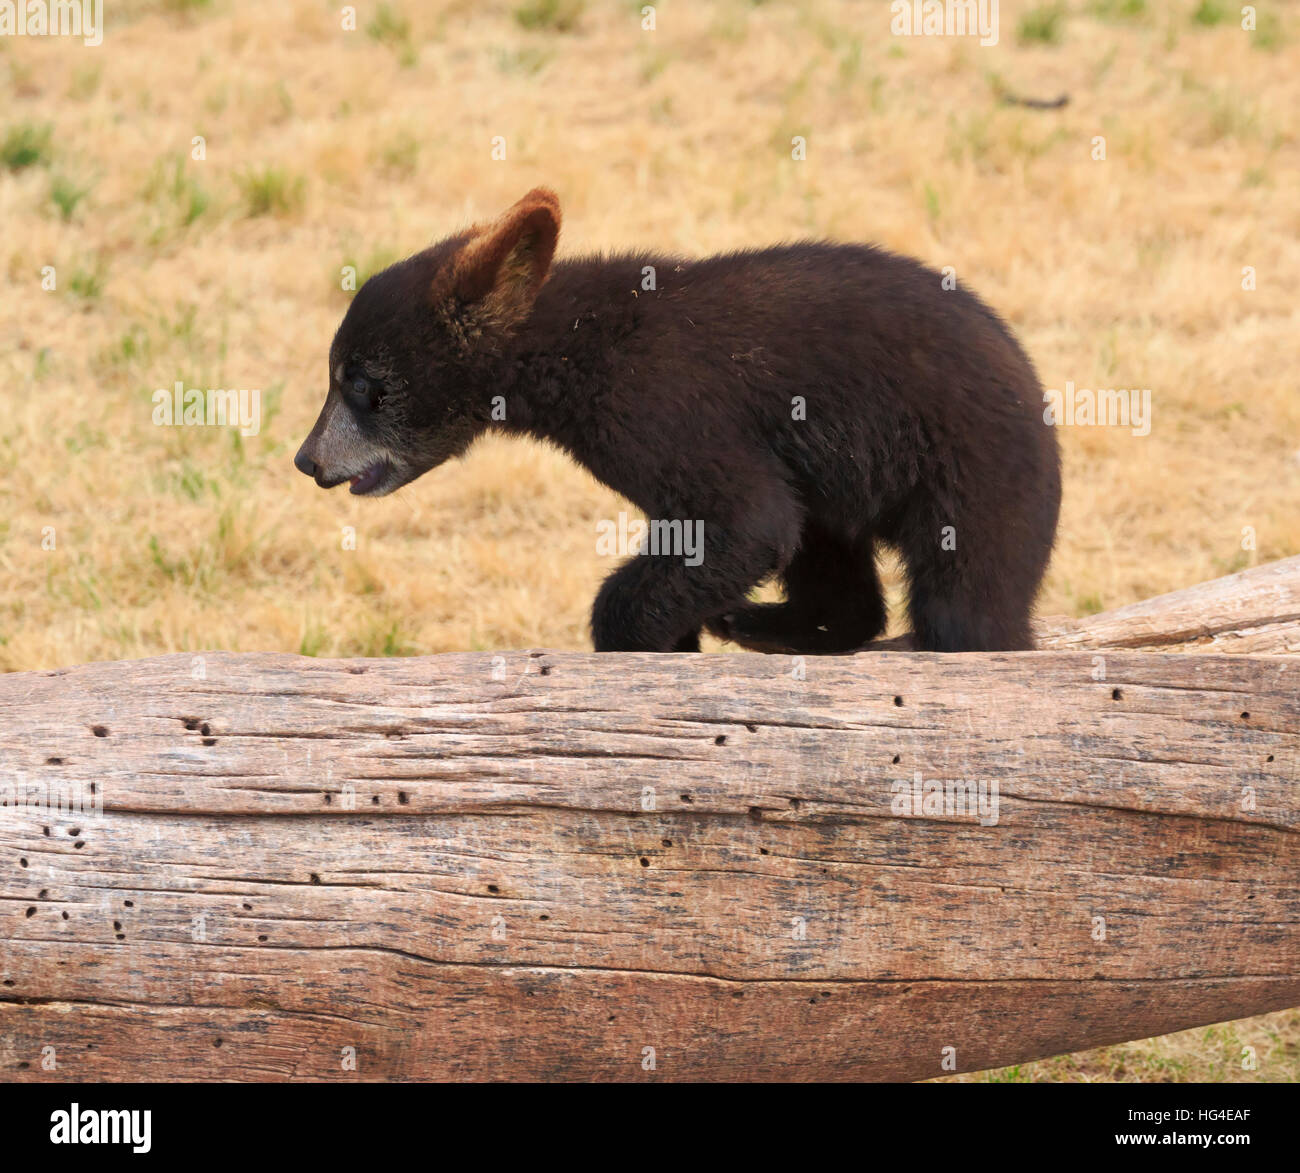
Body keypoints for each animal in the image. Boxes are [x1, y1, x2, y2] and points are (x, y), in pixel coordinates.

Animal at [294, 187, 1061, 654]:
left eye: (362, 386)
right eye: (338, 375)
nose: (308, 459)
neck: (569, 351)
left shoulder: (659, 405)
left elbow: (746, 519)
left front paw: (640, 631)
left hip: (975, 471)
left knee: (970, 606)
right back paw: (771, 623)